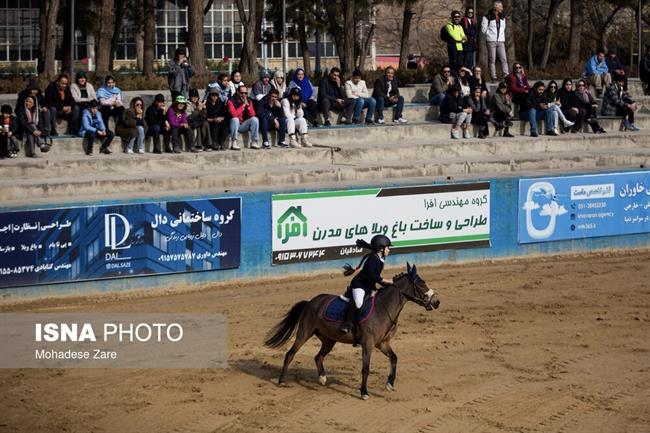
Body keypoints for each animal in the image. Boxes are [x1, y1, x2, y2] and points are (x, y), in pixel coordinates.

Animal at [264, 260, 440, 398]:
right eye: (422, 284)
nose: (437, 302)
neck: (384, 308)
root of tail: (310, 302)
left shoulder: (382, 343)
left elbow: (394, 358)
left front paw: (390, 384)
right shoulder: (368, 344)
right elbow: (365, 368)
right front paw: (364, 392)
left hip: (329, 340)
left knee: (318, 357)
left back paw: (322, 378)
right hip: (304, 333)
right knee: (290, 354)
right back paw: (282, 381)